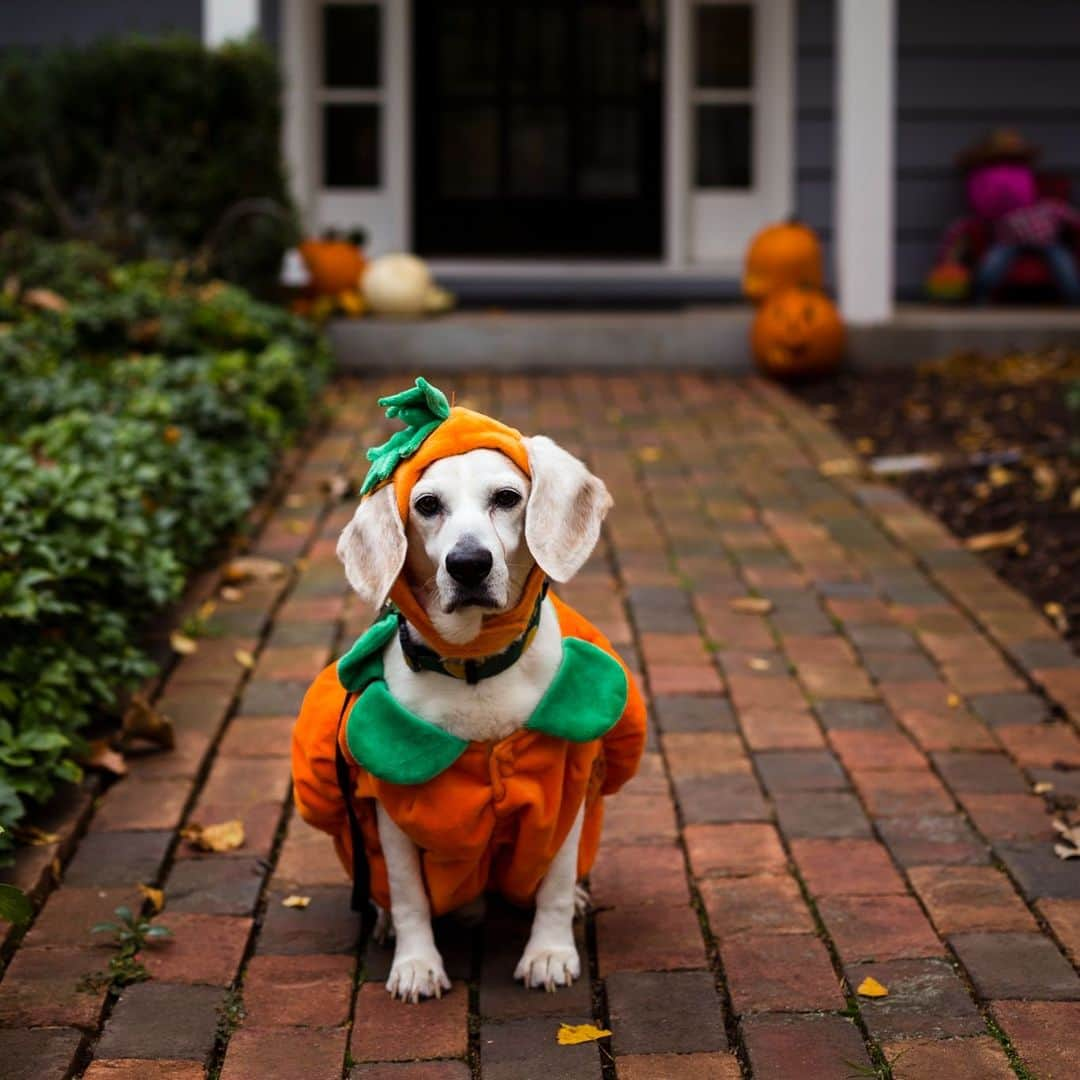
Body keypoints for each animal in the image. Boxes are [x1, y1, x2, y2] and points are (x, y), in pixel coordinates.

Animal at [291, 390, 643, 1002]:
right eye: (427, 505)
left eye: (507, 498)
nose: (469, 564)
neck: (476, 666)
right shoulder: (393, 807)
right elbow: (410, 895)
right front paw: (416, 964)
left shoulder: (564, 787)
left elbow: (553, 882)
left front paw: (550, 952)